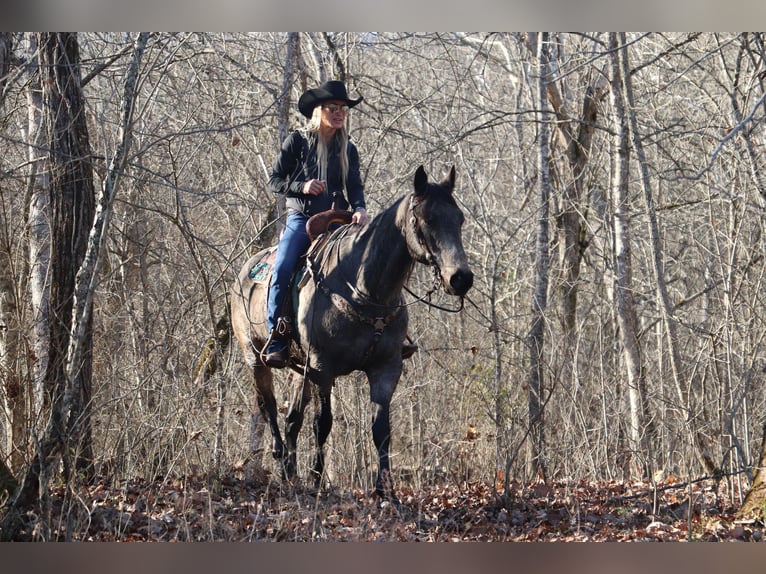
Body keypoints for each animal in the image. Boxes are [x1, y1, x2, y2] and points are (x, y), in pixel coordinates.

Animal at [231, 164, 476, 502]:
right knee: (269, 408)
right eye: (426, 219)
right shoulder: (322, 368)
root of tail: (245, 271)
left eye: (459, 219)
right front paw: (317, 482)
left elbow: (381, 431)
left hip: (298, 368)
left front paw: (386, 491)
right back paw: (282, 463)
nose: (460, 278)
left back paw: (291, 474)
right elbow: (323, 424)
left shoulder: (386, 368)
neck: (364, 288)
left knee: (292, 419)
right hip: (255, 357)